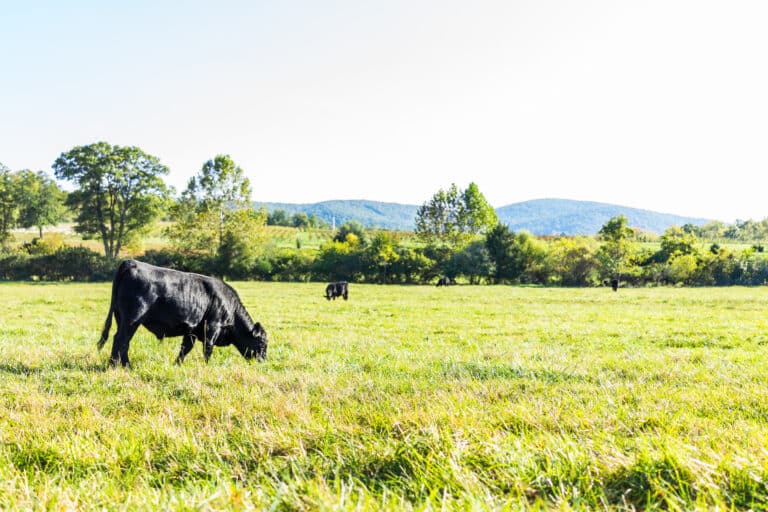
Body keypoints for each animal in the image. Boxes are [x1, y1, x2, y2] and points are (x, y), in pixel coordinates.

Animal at [97, 260, 268, 368]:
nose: (264, 362)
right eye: (262, 344)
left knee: (124, 341)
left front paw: (177, 364)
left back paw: (124, 365)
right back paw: (115, 365)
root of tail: (131, 262)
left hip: (122, 318)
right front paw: (207, 366)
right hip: (132, 319)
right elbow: (208, 349)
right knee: (120, 340)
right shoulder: (212, 327)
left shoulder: (191, 331)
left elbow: (185, 349)